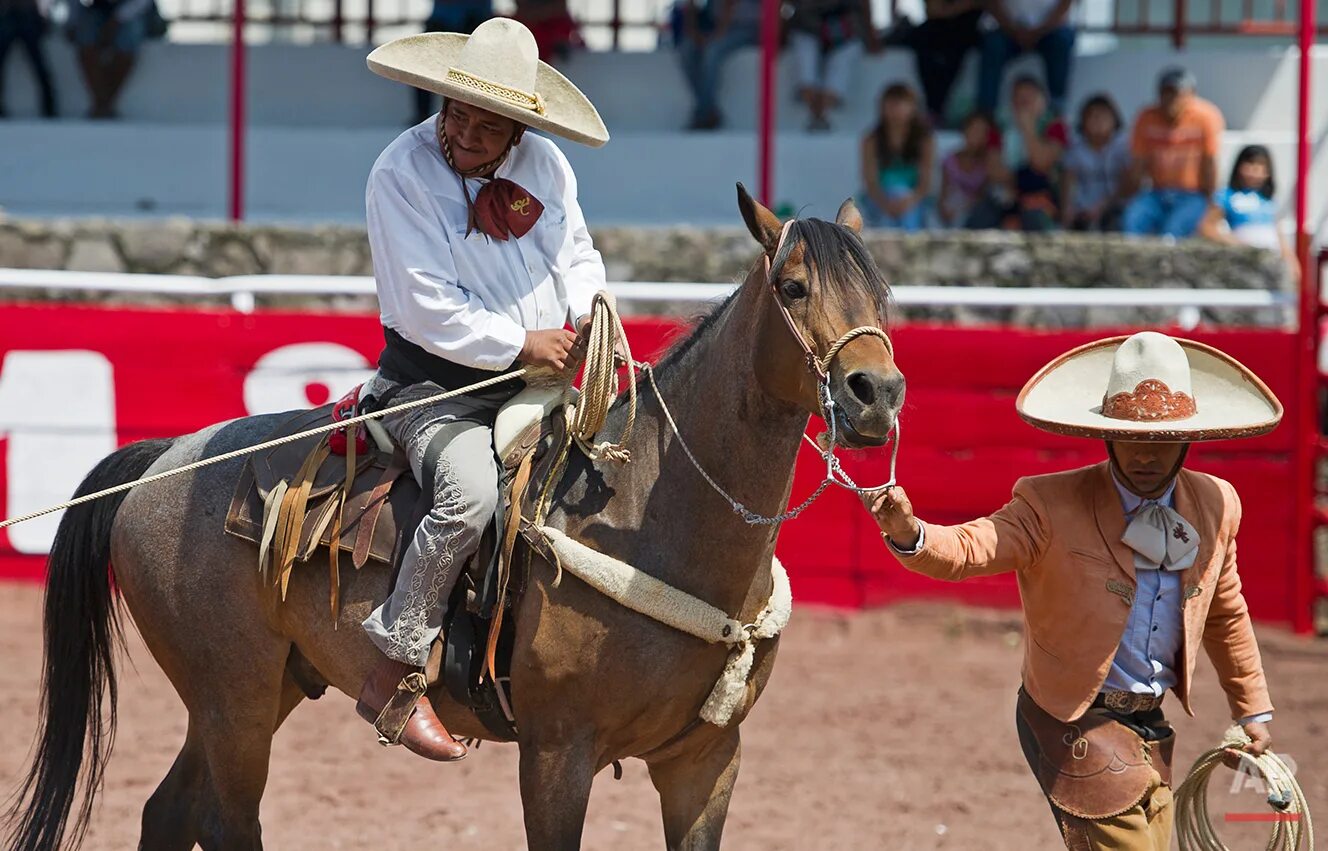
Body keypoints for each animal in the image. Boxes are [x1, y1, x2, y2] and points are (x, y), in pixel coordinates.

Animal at [7, 187, 903, 849]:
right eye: (793, 287)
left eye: (884, 294)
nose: (876, 392)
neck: (656, 512)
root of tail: (166, 458)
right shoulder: (556, 754)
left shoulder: (707, 760)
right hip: (235, 699)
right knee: (225, 823)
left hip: (253, 691)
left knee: (169, 812)